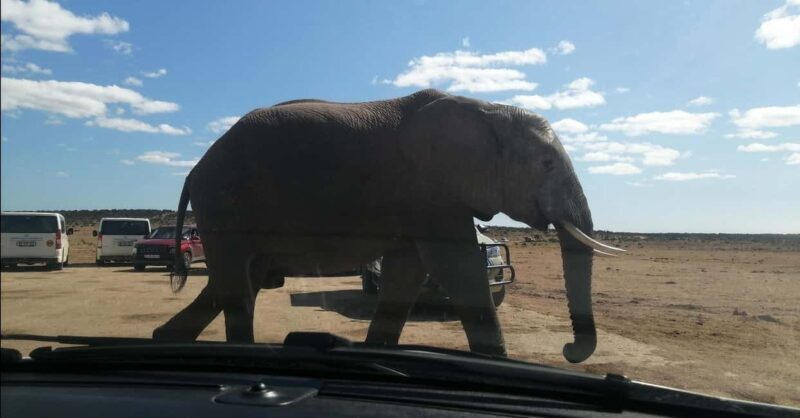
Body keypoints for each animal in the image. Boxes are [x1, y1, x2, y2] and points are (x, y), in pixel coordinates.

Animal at [152, 89, 624, 363]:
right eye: (545, 164)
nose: (569, 350)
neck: (487, 111)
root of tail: (196, 168)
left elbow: (408, 271)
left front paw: (376, 351)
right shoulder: (431, 188)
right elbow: (457, 267)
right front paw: (496, 360)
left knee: (237, 281)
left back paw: (164, 338)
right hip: (226, 200)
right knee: (235, 280)